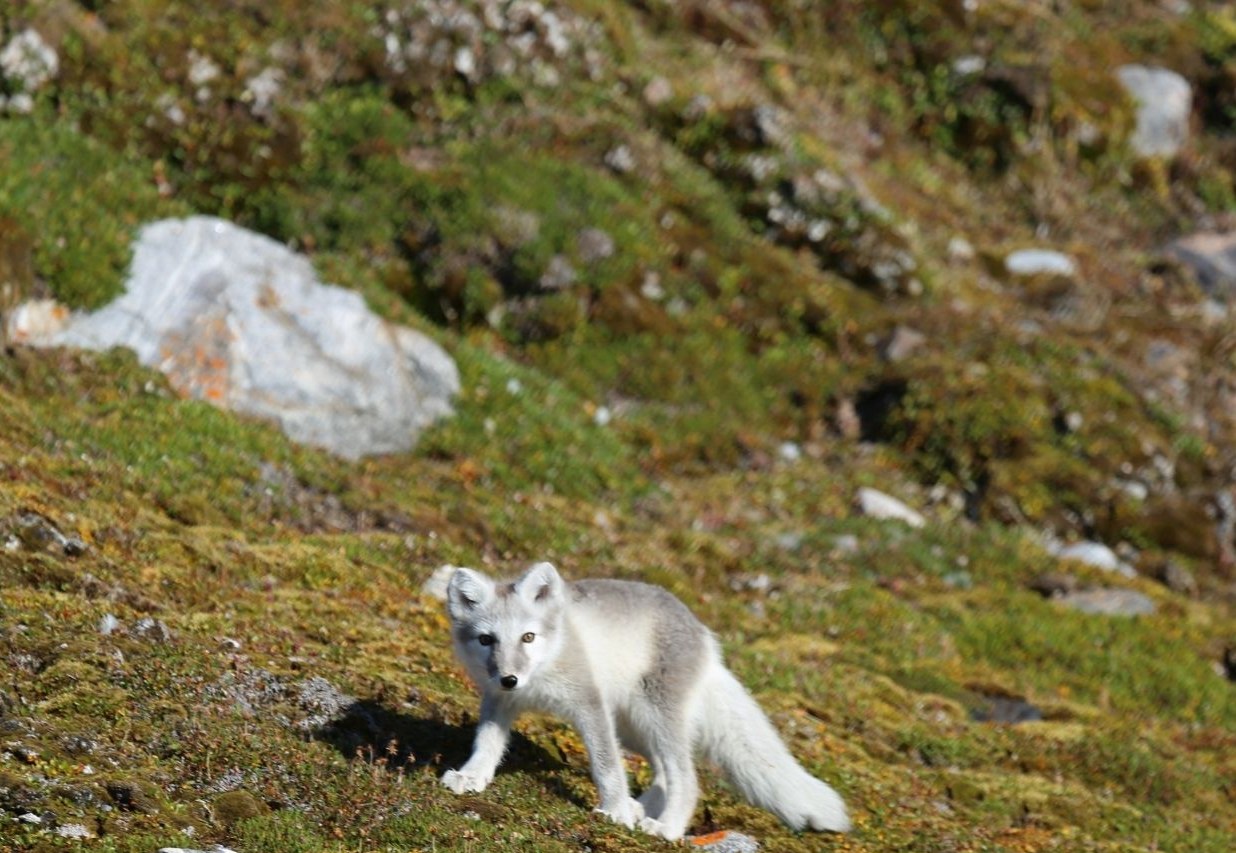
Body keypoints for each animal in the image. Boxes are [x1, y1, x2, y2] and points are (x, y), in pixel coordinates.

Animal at [439, 561, 851, 840]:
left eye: (528, 637)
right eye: (486, 640)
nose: (510, 677)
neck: (541, 673)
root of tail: (706, 639)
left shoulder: (590, 704)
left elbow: (607, 766)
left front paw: (615, 809)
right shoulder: (498, 699)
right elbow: (487, 743)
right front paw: (471, 777)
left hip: (655, 716)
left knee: (686, 780)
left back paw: (665, 827)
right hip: (633, 726)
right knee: (664, 776)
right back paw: (643, 808)